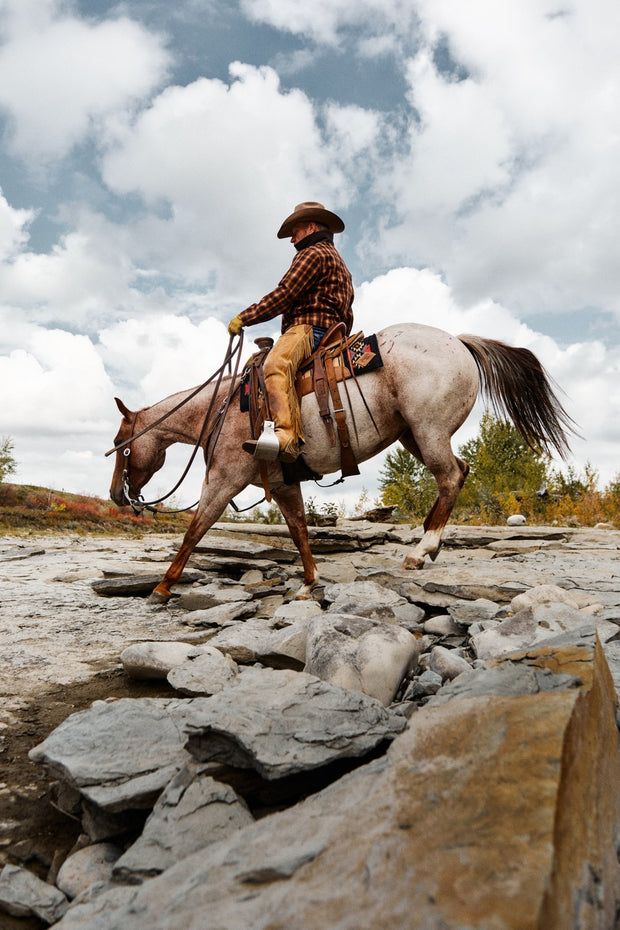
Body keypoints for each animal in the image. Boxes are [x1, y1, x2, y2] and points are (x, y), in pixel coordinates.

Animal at [109, 322, 572, 600]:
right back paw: (428, 545)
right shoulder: (283, 483)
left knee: (451, 477)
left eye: (120, 444)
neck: (223, 410)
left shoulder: (223, 480)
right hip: (412, 435)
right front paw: (310, 582)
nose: (116, 495)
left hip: (428, 431)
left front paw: (163, 586)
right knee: (459, 472)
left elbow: (195, 529)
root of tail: (458, 341)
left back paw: (422, 550)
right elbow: (299, 530)